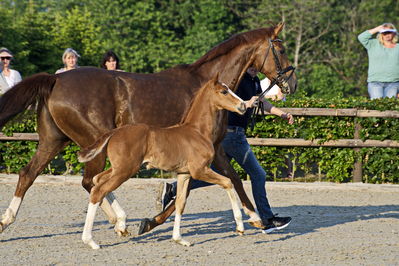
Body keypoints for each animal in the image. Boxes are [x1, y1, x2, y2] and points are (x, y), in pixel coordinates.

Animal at [78, 75, 253, 249]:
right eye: (224, 91)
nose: (243, 105)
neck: (197, 132)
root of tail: (115, 132)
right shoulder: (200, 170)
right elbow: (228, 182)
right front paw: (240, 226)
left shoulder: (184, 174)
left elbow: (180, 203)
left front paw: (179, 238)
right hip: (125, 170)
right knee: (98, 190)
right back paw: (91, 240)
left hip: (119, 169)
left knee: (97, 180)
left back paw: (120, 224)